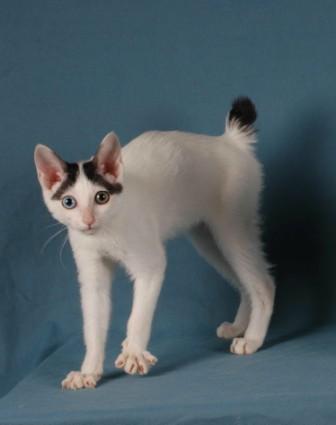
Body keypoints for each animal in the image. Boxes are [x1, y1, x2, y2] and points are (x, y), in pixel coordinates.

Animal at [34, 97, 276, 390]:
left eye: (101, 197)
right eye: (69, 202)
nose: (88, 221)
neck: (106, 231)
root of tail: (230, 141)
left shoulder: (151, 264)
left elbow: (138, 315)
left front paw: (134, 352)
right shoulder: (92, 275)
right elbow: (93, 326)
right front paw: (89, 371)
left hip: (232, 228)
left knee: (263, 284)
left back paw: (252, 339)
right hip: (208, 239)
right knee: (244, 283)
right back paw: (239, 327)